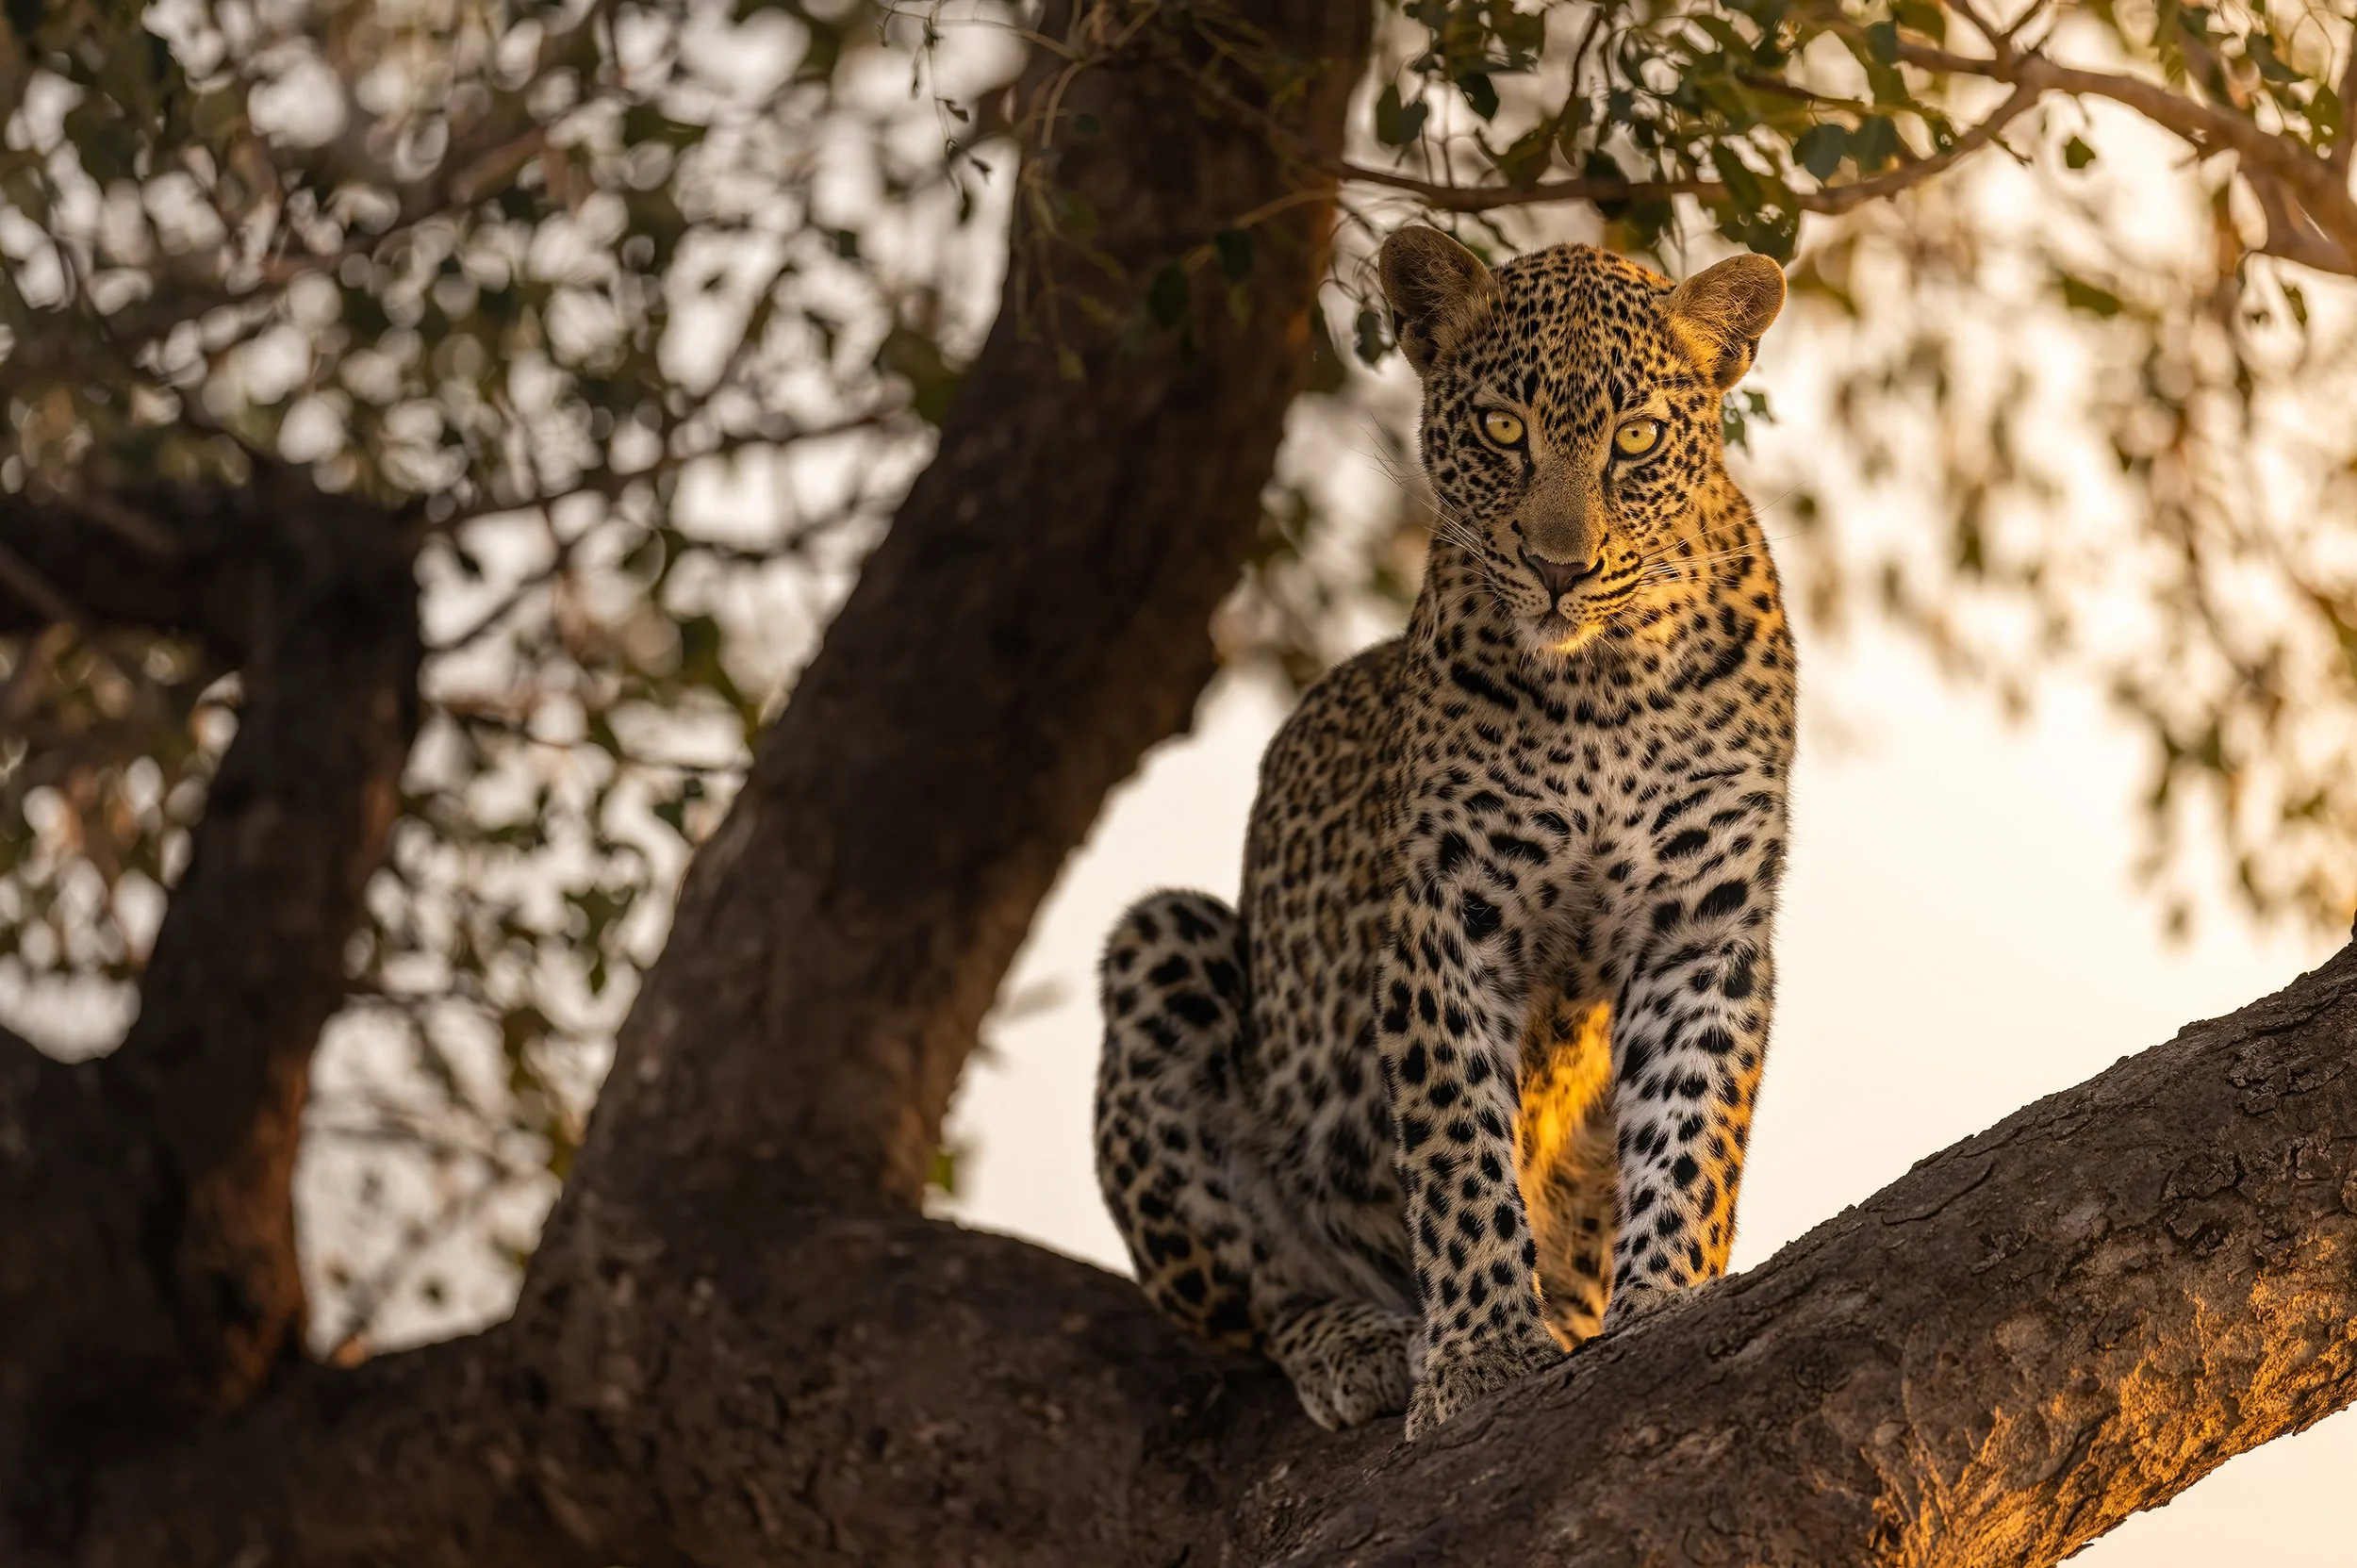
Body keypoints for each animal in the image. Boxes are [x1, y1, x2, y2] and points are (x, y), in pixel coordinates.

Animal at [1093, 225, 1794, 1440]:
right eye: (1501, 429)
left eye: (1636, 438)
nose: (1558, 566)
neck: (1606, 680)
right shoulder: (1447, 918)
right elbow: (1460, 1143)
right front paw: (1479, 1350)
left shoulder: (1704, 922)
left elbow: (1691, 1125)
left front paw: (1666, 1296)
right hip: (1163, 945)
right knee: (1256, 1295)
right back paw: (1363, 1340)